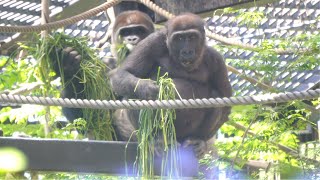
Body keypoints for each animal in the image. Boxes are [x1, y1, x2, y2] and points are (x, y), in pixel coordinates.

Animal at [110, 12, 232, 157]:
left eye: (192, 37)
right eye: (179, 38)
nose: (187, 52)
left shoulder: (216, 60)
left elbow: (225, 103)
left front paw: (202, 140)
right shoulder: (152, 42)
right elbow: (124, 73)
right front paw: (147, 89)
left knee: (216, 96)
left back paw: (197, 139)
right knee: (132, 95)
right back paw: (155, 139)